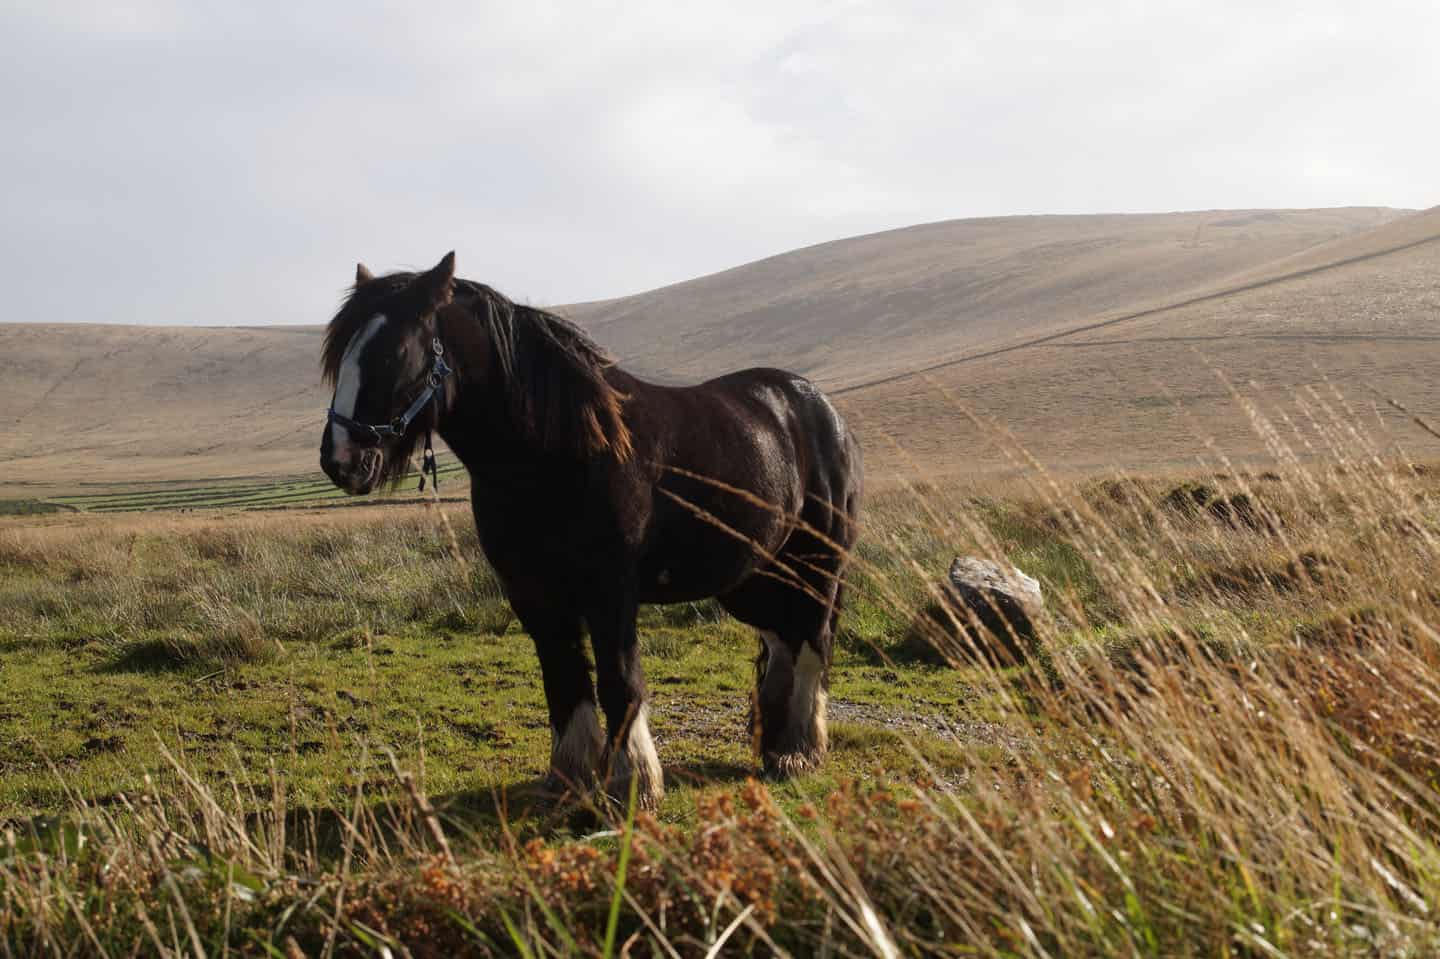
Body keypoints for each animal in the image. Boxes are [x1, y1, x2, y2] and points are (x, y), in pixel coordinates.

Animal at [321, 251, 858, 806]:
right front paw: (570, 778)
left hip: (816, 564)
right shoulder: (531, 591)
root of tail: (817, 406)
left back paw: (799, 750)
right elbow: (564, 679)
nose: (341, 460)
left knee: (812, 639)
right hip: (752, 576)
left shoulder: (611, 590)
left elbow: (619, 681)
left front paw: (632, 782)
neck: (556, 452)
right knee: (783, 639)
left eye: (395, 353)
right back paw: (773, 743)